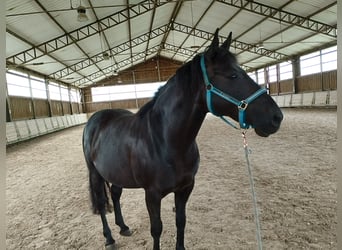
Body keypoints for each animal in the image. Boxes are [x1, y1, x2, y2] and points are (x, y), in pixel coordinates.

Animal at [83, 28, 284, 249]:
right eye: (232, 75)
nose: (276, 117)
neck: (165, 142)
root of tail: (95, 119)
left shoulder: (185, 189)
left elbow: (181, 221)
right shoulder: (152, 195)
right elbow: (157, 229)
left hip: (115, 172)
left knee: (116, 194)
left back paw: (123, 227)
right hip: (95, 173)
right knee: (101, 203)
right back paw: (109, 238)